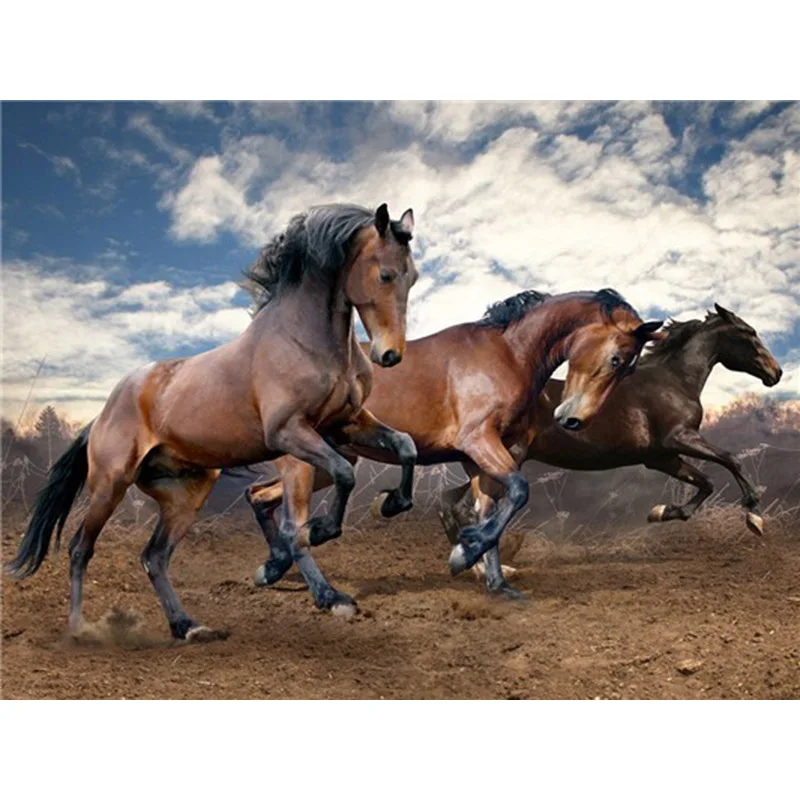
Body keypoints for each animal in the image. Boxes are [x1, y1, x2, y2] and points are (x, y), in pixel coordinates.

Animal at [6, 202, 418, 639]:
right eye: (385, 274)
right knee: (80, 549)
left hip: (187, 493)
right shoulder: (289, 432)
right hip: (109, 486)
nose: (390, 355)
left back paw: (186, 626)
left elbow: (404, 445)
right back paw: (78, 628)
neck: (306, 340)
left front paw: (391, 503)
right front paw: (321, 538)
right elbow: (341, 476)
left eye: (413, 277)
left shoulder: (346, 424)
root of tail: (100, 416)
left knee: (154, 556)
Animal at [244, 288, 663, 608]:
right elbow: (518, 492)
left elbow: (491, 510)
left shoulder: (483, 458)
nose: (574, 419)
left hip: (328, 463)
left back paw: (273, 567)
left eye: (627, 368)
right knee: (291, 525)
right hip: (304, 463)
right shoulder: (478, 441)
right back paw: (326, 594)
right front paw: (464, 553)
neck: (508, 354)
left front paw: (496, 582)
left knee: (259, 496)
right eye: (616, 359)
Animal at [437, 303, 784, 587]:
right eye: (749, 333)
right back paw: (488, 570)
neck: (673, 381)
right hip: (507, 459)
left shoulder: (662, 457)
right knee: (467, 509)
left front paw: (661, 512)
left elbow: (706, 482)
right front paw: (755, 518)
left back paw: (473, 567)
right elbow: (730, 460)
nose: (776, 372)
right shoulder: (679, 437)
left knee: (449, 503)